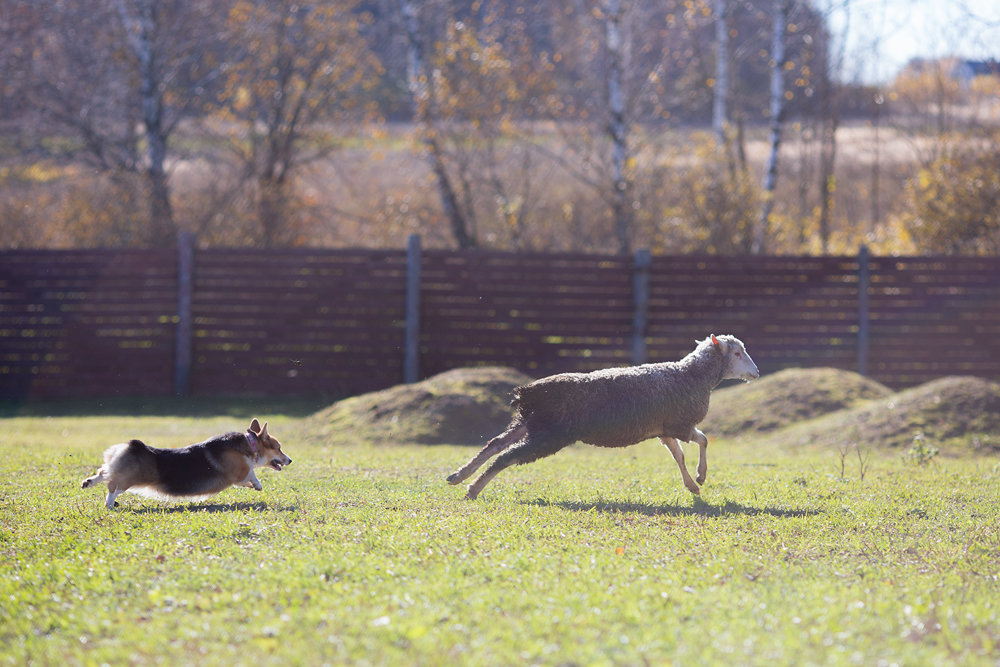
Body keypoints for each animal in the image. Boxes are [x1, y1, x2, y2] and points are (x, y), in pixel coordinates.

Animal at [81, 420, 290, 508]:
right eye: (278, 448)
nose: (290, 460)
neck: (250, 444)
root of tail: (133, 446)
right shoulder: (239, 471)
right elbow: (251, 472)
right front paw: (258, 484)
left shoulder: (237, 479)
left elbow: (246, 480)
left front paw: (253, 486)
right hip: (129, 479)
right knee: (112, 485)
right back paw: (109, 503)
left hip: (118, 469)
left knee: (103, 472)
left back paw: (88, 482)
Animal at [446, 334, 756, 500]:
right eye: (738, 353)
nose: (756, 372)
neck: (692, 375)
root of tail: (528, 392)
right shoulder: (680, 424)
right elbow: (703, 440)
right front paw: (701, 476)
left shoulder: (665, 429)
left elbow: (678, 456)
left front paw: (692, 484)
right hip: (548, 434)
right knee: (506, 456)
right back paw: (473, 488)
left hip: (530, 423)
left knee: (495, 444)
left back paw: (459, 475)